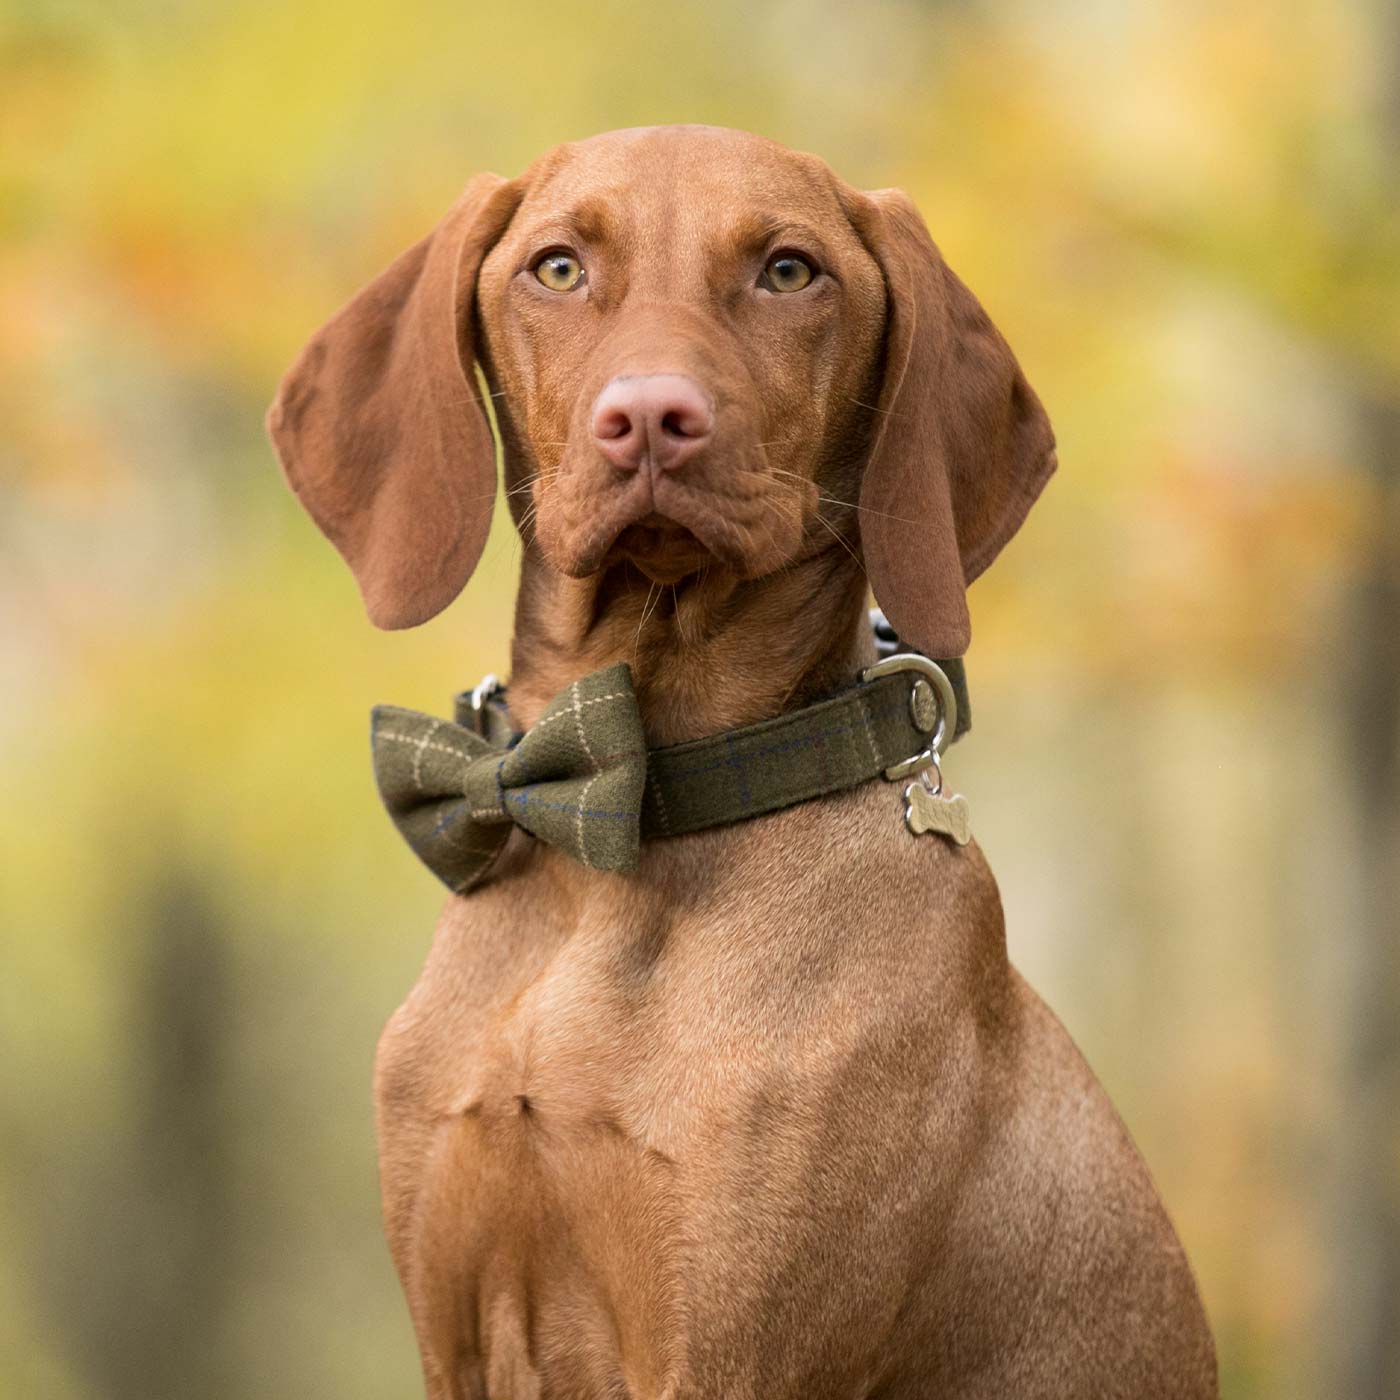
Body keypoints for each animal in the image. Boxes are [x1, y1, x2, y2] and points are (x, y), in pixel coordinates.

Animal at [270, 126, 1215, 1394]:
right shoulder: (451, 1334)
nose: (650, 417)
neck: (619, 809)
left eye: (787, 271)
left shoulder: (728, 1348)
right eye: (557, 267)